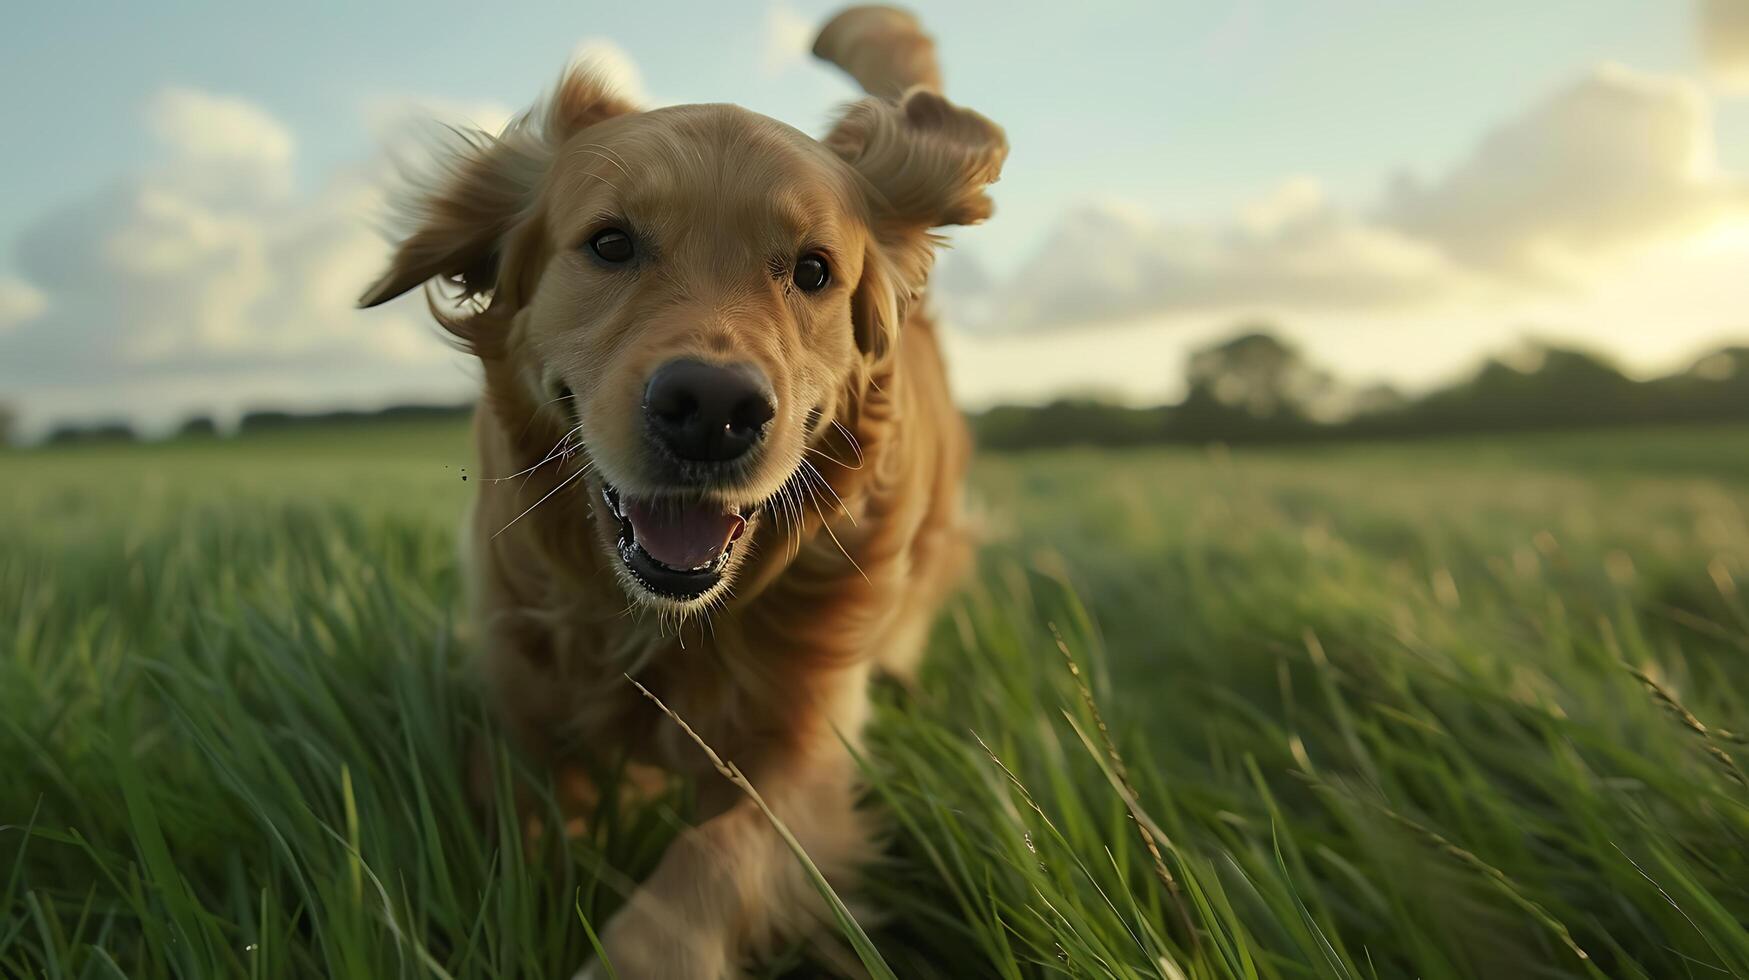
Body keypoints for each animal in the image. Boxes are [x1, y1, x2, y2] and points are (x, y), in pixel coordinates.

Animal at [355, 5, 1007, 973]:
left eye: (812, 270)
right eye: (610, 243)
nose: (712, 409)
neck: (659, 625)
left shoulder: (806, 746)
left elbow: (715, 858)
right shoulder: (518, 693)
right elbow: (520, 822)